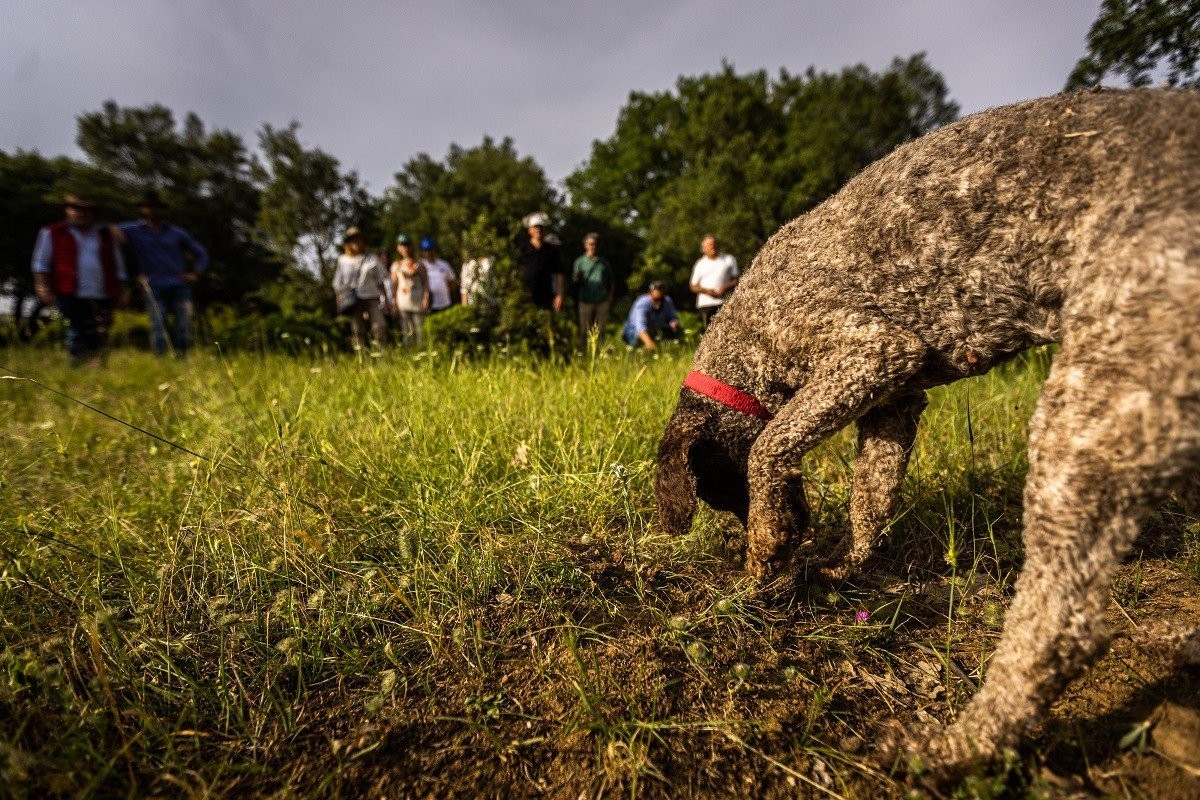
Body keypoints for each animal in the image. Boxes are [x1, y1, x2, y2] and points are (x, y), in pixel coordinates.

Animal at [657, 89, 1200, 782]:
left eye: (726, 496)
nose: (789, 529)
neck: (747, 343)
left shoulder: (871, 352)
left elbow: (770, 447)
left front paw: (765, 555)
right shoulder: (893, 399)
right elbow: (870, 500)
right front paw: (843, 564)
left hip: (1089, 411)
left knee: (1060, 626)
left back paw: (954, 747)